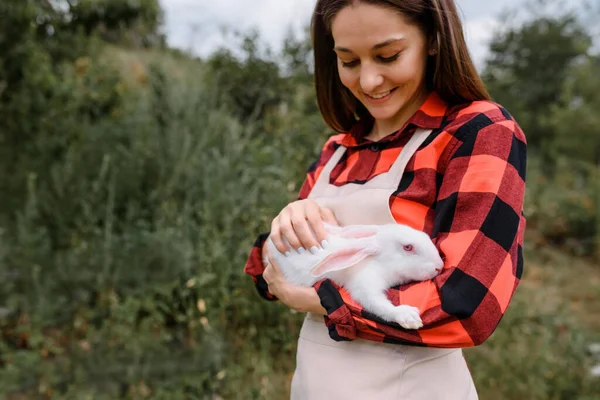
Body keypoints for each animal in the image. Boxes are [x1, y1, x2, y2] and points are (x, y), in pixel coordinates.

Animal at [264, 222, 442, 328]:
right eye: (408, 247)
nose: (439, 266)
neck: (379, 261)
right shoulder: (363, 284)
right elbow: (377, 304)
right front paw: (408, 316)